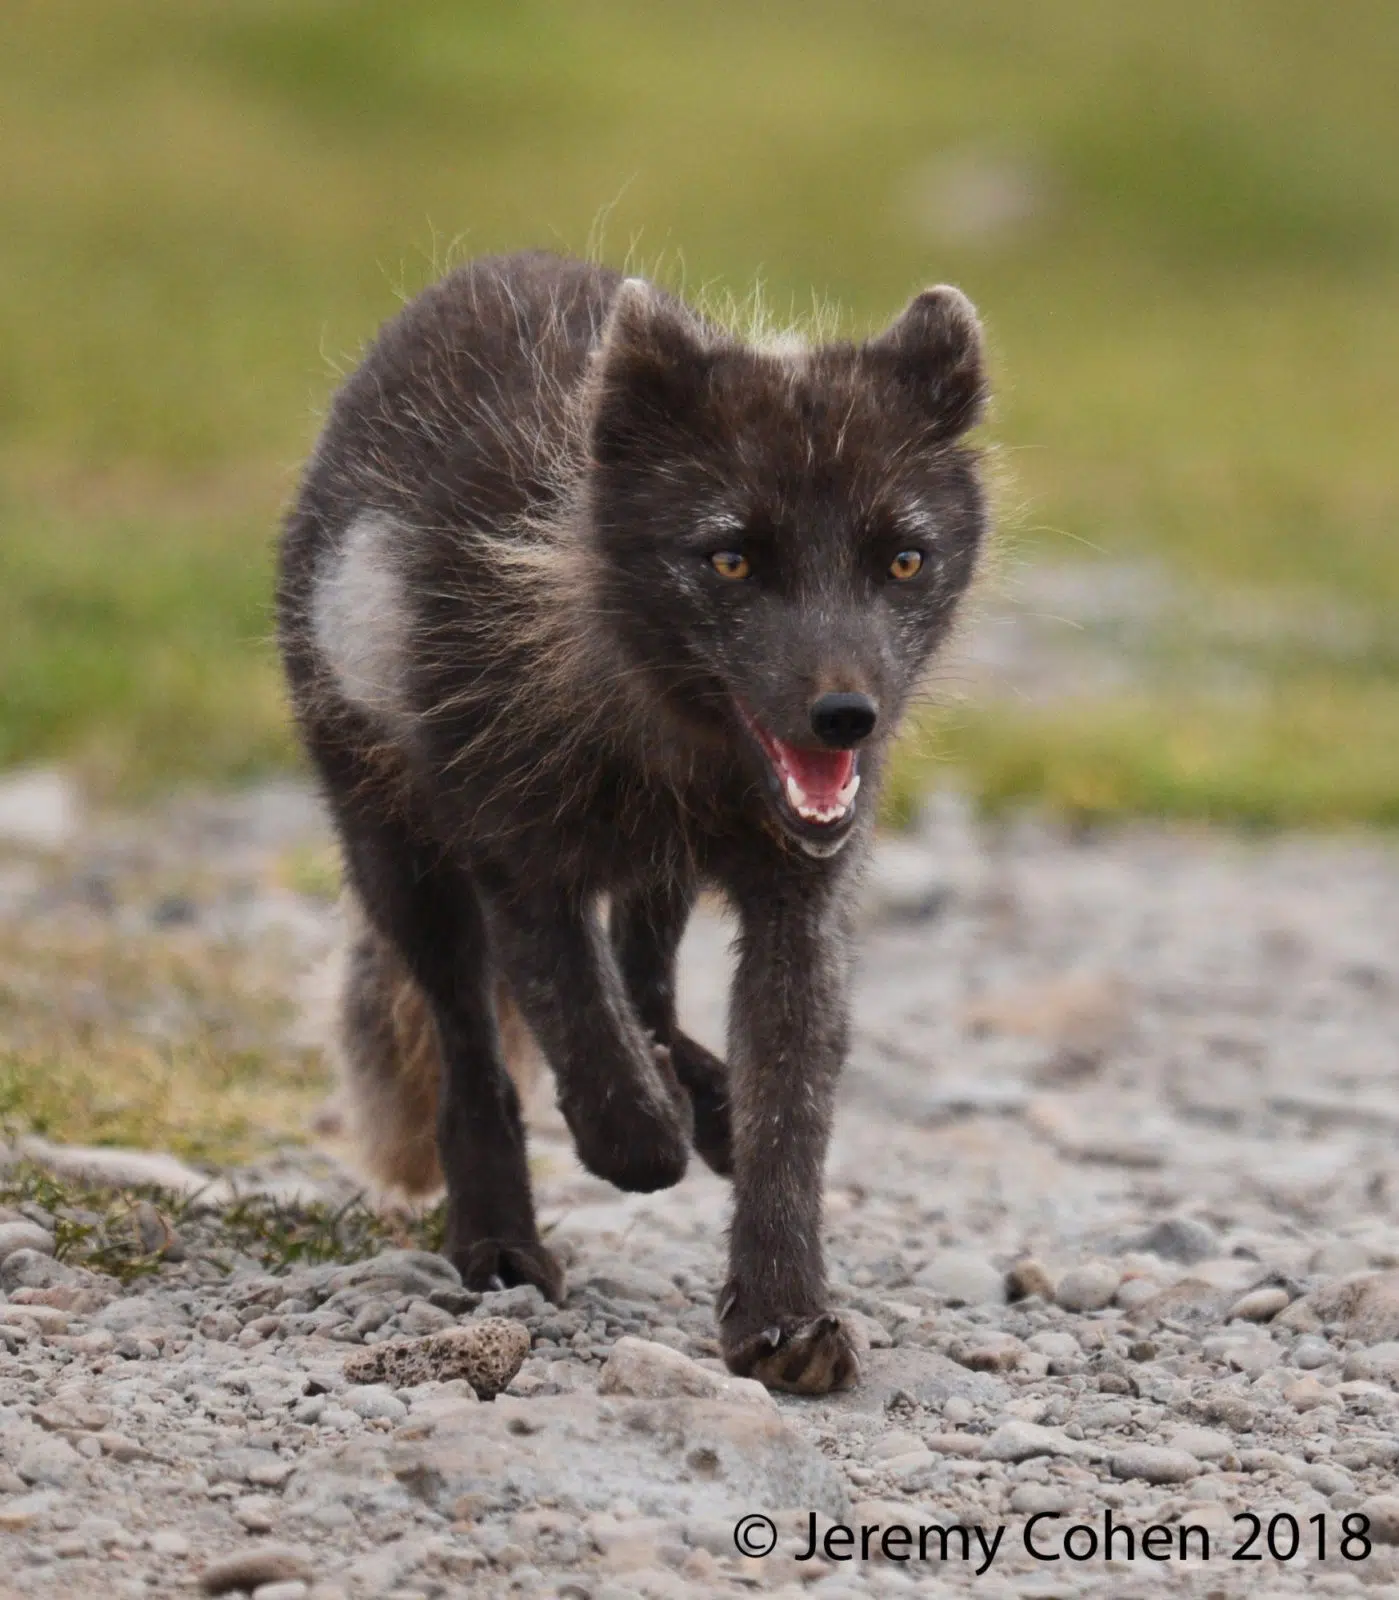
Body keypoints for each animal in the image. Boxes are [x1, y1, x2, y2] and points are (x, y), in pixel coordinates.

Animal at [275, 249, 979, 1388]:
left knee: (646, 976)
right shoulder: (517, 864)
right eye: (731, 558)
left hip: (659, 875)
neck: (670, 746)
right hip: (399, 854)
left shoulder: (802, 892)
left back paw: (697, 1095)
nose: (846, 716)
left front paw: (782, 1316)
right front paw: (638, 1133)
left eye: (903, 560)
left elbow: (790, 1102)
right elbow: (580, 1036)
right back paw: (502, 1239)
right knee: (471, 1046)